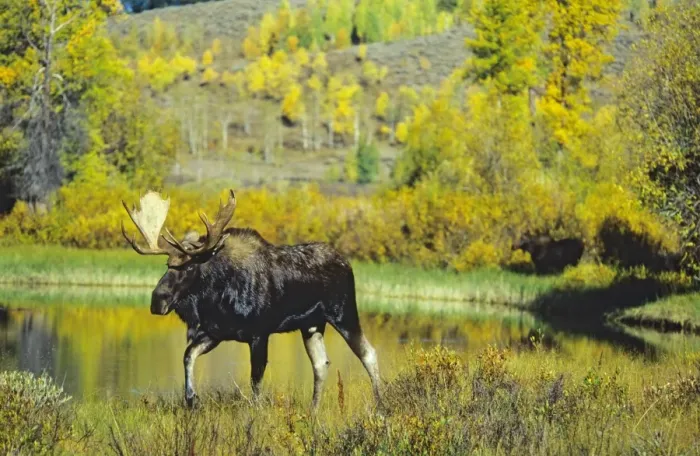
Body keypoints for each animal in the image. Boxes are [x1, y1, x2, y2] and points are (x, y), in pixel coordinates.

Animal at [120, 189, 381, 410]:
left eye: (190, 266)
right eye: (167, 264)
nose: (157, 300)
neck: (217, 295)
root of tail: (347, 263)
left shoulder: (259, 333)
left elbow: (255, 381)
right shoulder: (215, 332)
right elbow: (188, 355)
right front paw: (191, 398)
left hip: (344, 314)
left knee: (368, 353)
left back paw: (380, 408)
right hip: (311, 325)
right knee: (321, 364)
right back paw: (313, 412)